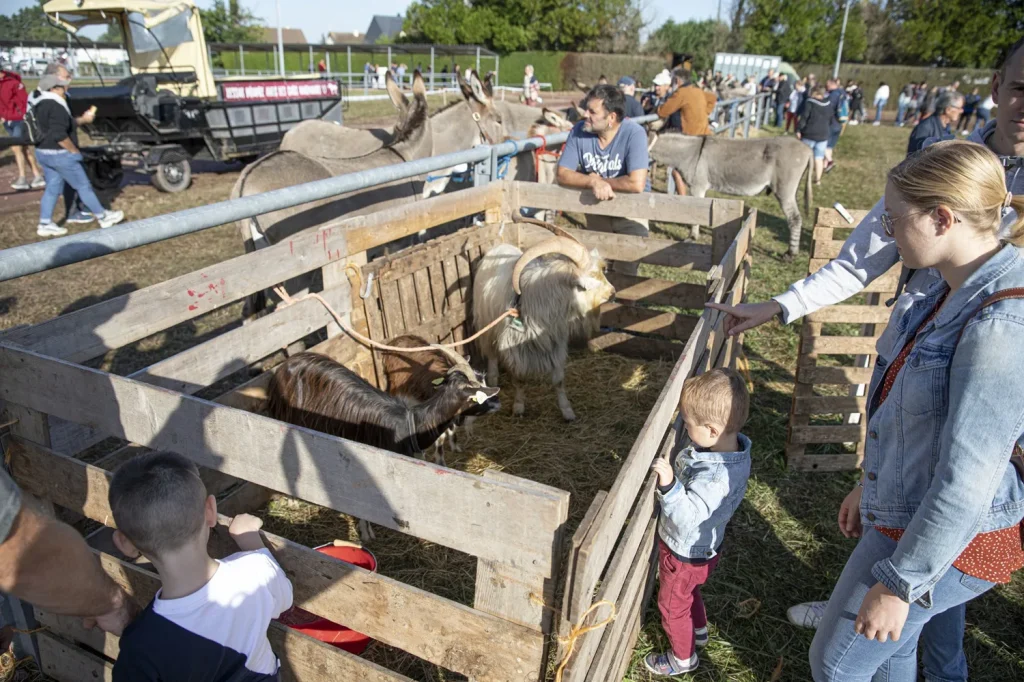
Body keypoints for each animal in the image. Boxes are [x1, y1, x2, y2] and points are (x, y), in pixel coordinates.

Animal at [473, 220, 610, 419]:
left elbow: (559, 380)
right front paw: (519, 407)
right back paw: (493, 379)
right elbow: (519, 378)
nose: (612, 292)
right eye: (590, 278)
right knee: (490, 353)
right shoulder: (514, 347)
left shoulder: (556, 342)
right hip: (486, 323)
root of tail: (500, 246)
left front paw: (567, 411)